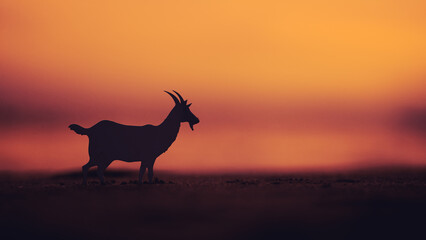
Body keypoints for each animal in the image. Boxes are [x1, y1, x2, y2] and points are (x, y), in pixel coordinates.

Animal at [68, 91, 200, 185]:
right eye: (186, 109)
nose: (197, 120)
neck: (160, 131)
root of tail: (90, 130)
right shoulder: (147, 157)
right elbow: (144, 173)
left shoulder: (150, 159)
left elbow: (147, 173)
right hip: (100, 155)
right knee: (87, 167)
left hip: (106, 158)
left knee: (97, 169)